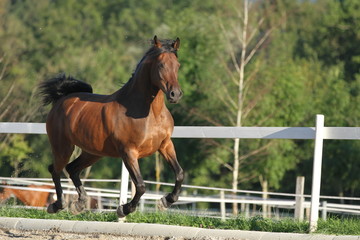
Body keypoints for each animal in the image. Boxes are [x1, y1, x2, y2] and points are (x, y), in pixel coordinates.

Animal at [39, 35, 183, 218]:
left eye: (177, 65)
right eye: (161, 65)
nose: (175, 94)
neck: (150, 113)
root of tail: (61, 99)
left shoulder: (165, 145)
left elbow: (179, 174)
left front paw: (166, 201)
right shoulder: (129, 152)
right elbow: (141, 186)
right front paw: (124, 209)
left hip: (93, 153)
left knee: (72, 169)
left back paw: (79, 204)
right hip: (63, 147)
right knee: (55, 170)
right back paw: (58, 205)